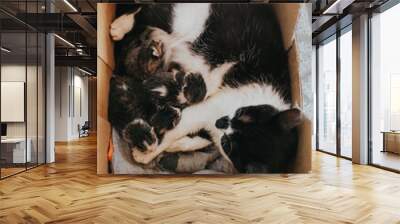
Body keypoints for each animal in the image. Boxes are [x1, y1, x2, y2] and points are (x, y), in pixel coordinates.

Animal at [110, 2, 304, 172]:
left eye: (227, 145)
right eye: (242, 113)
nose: (221, 121)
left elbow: (199, 140)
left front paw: (175, 146)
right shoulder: (208, 107)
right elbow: (176, 130)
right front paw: (148, 153)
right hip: (186, 20)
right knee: (148, 9)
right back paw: (120, 26)